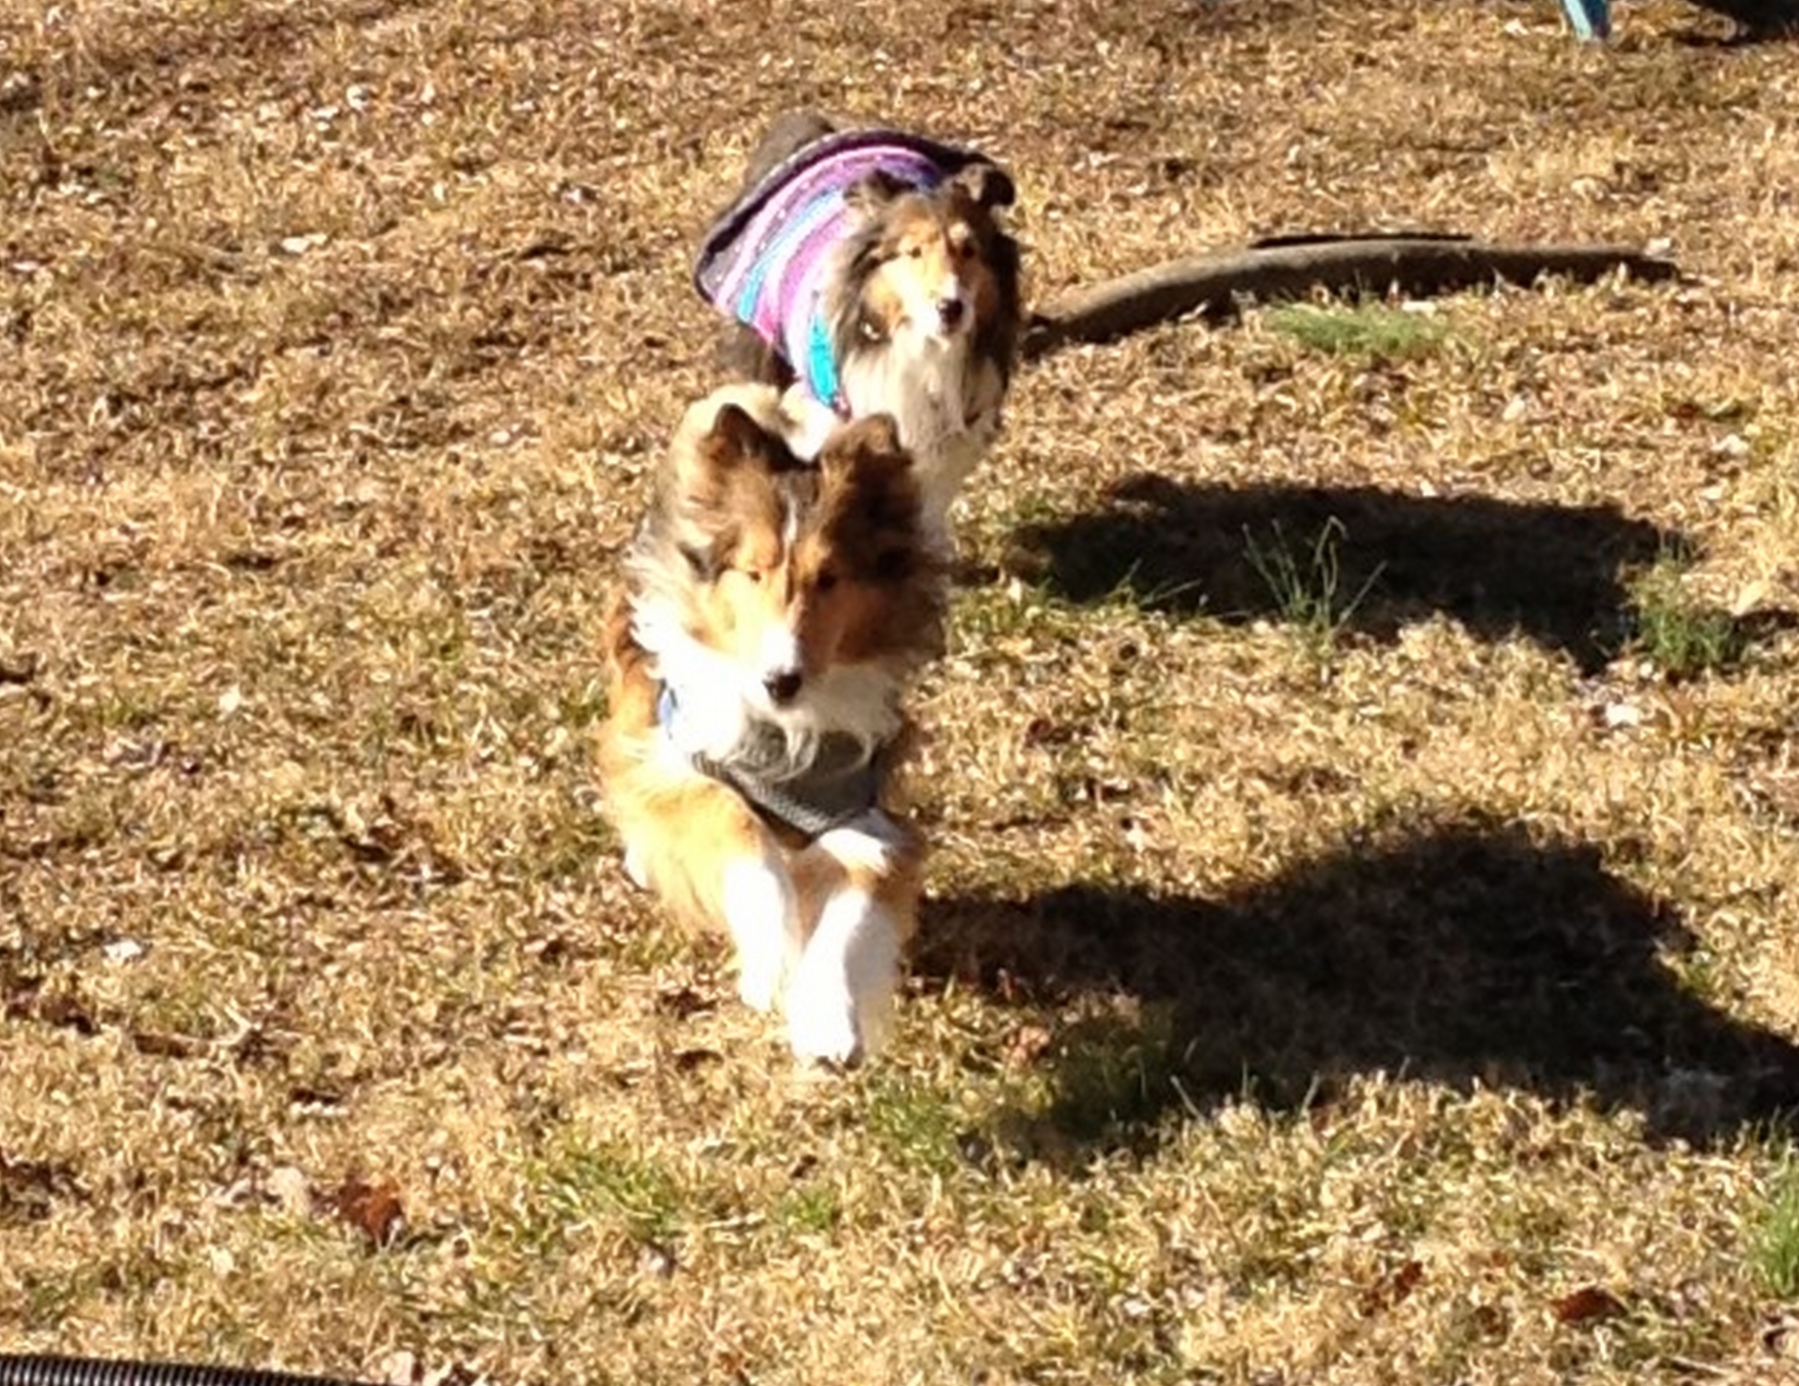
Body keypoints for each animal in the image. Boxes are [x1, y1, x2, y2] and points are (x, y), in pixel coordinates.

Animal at [598, 383, 947, 1064]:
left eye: (829, 578)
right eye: (753, 572)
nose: (779, 680)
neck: (787, 731)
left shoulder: (866, 818)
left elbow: (856, 904)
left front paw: (829, 1024)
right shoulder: (680, 764)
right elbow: (736, 824)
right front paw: (773, 959)